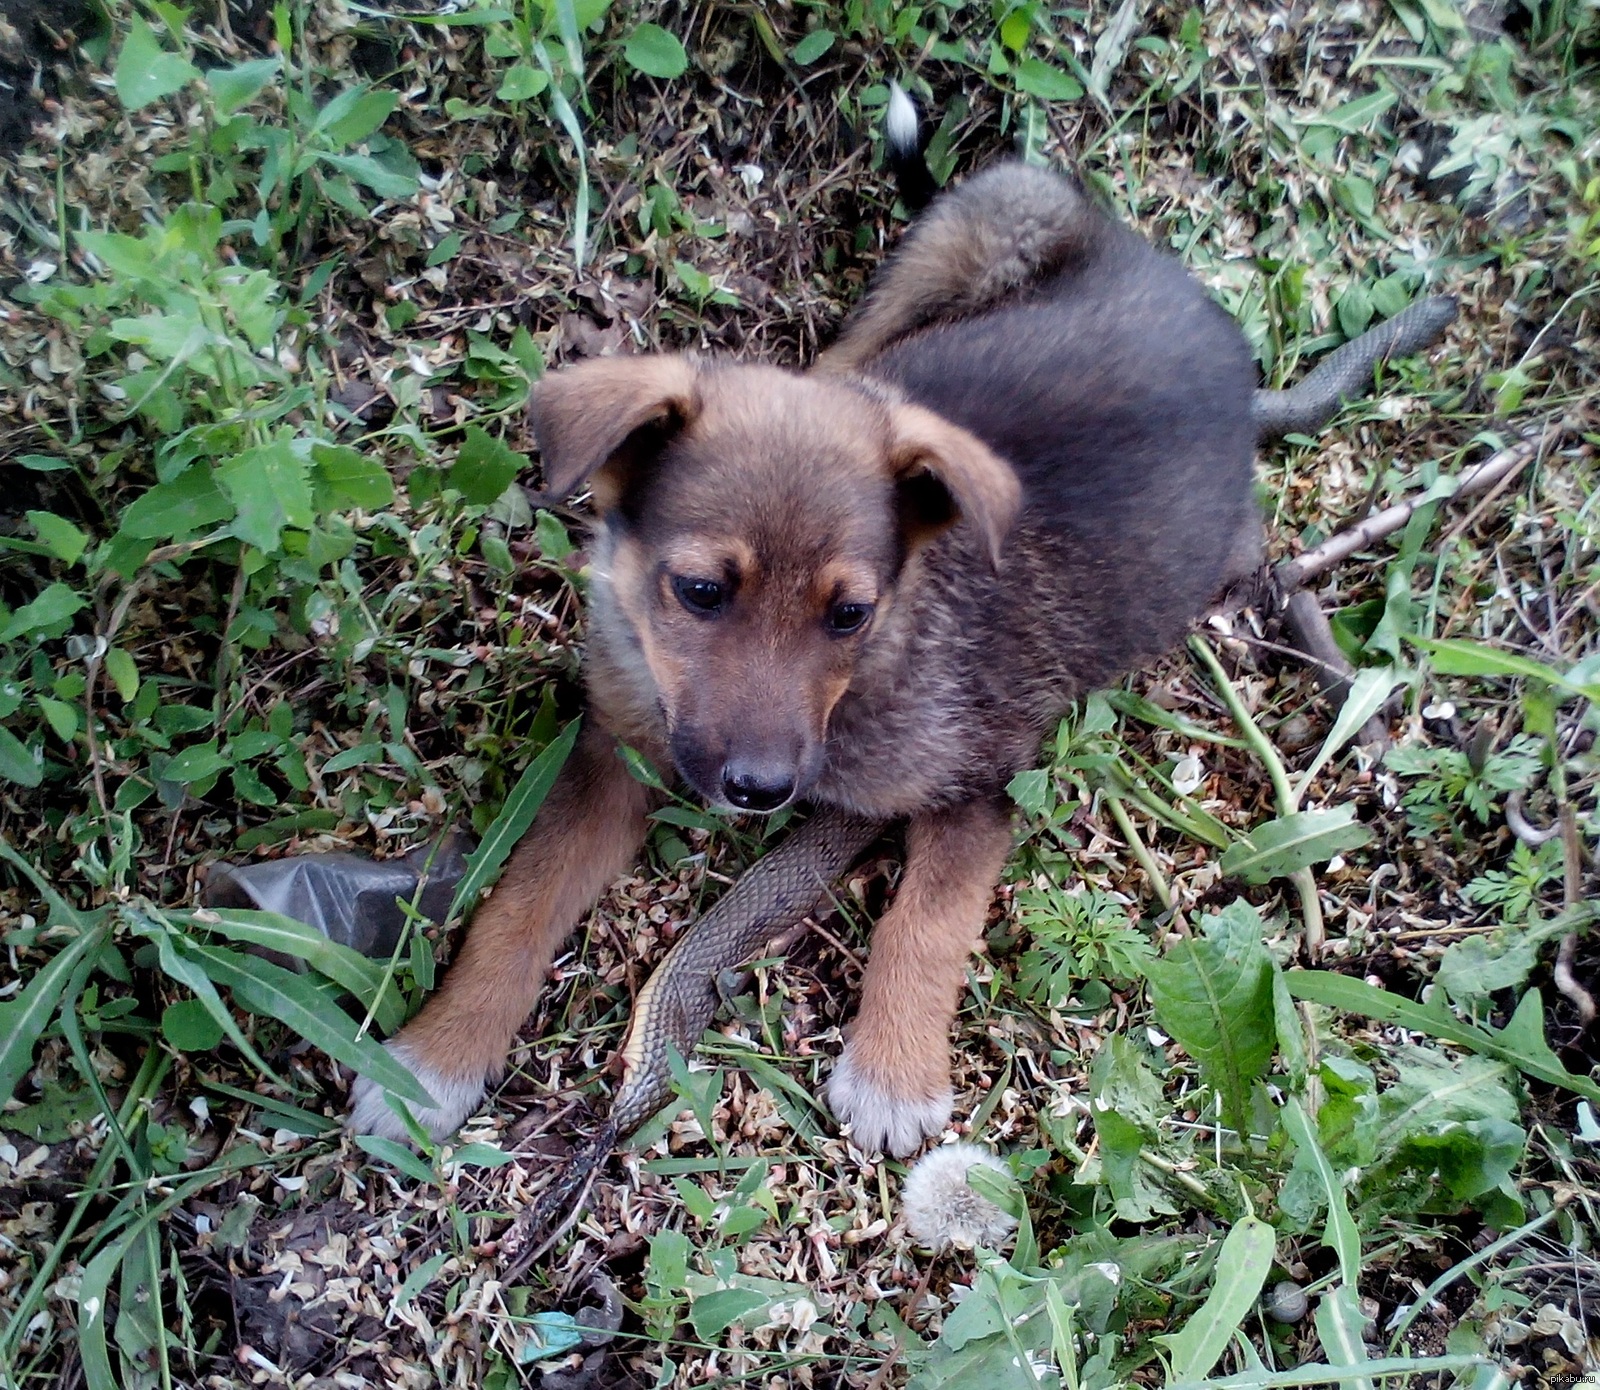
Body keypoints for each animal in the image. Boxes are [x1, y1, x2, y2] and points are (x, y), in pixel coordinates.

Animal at [353, 162, 1260, 1158]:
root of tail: (1185, 288)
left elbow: (927, 921)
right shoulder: (610, 755)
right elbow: (519, 903)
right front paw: (434, 1056)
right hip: (979, 225)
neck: (877, 670)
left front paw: (894, 1073)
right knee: (843, 365)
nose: (758, 792)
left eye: (850, 614)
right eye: (700, 591)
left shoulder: (982, 779)